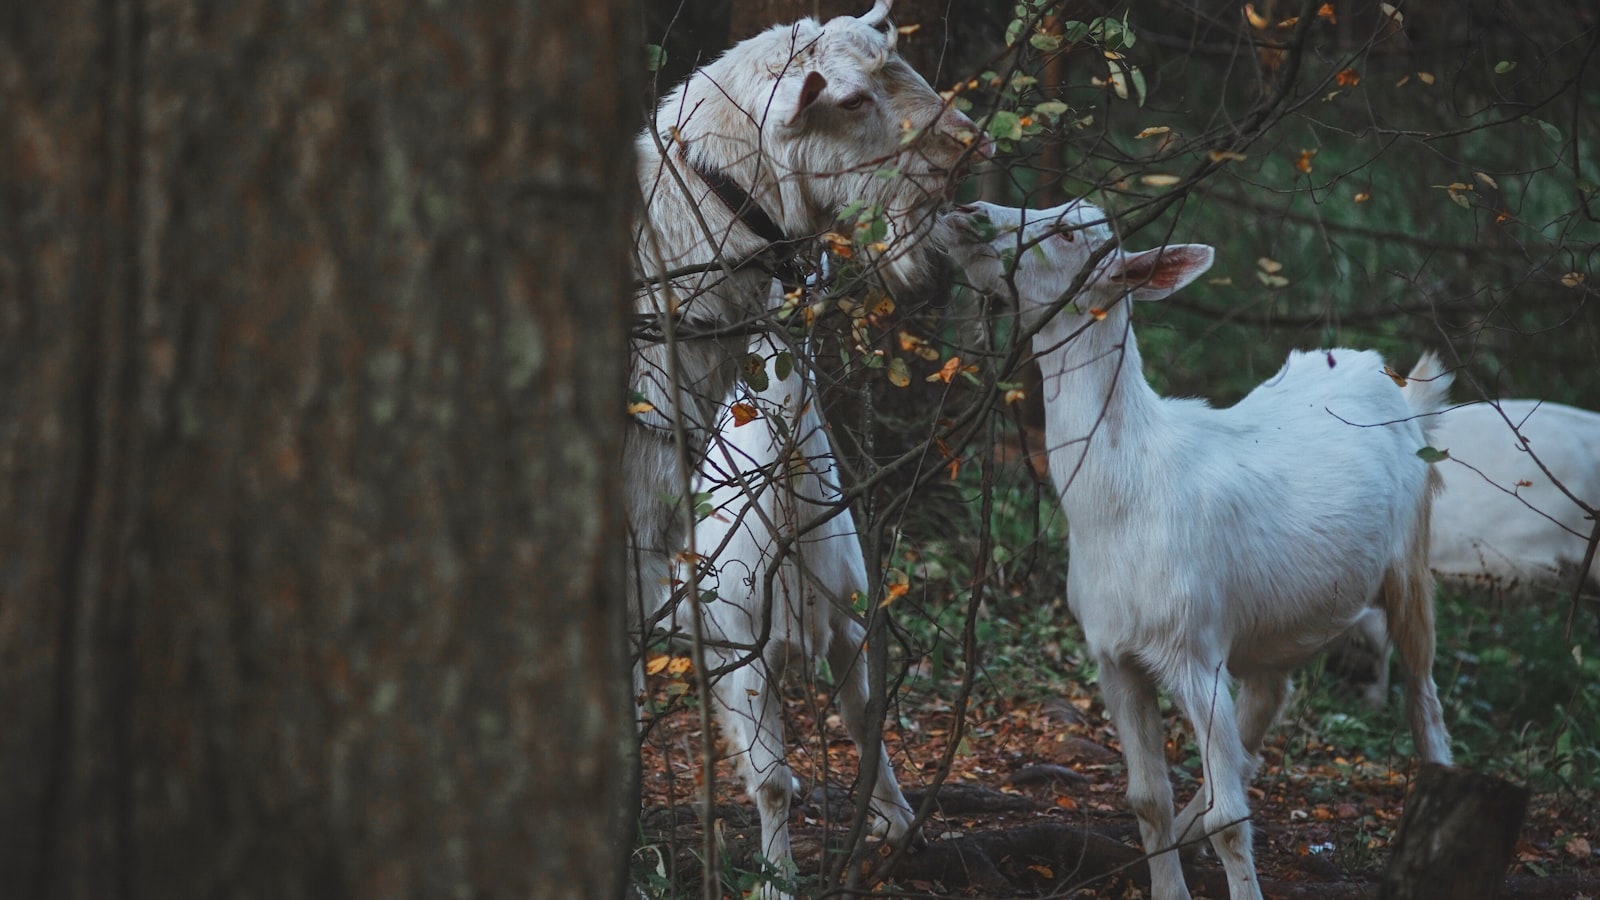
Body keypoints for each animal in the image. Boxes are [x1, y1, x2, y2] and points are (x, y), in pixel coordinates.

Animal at [672, 329, 915, 877]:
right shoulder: (755, 646)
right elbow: (773, 782)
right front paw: (777, 875)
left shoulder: (847, 627)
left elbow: (864, 722)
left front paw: (897, 821)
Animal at [940, 201, 1459, 896]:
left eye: (1070, 231)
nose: (967, 212)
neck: (1120, 506)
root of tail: (1406, 390)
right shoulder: (1113, 652)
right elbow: (1146, 797)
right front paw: (1167, 881)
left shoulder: (1195, 646)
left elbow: (1230, 821)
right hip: (1270, 618)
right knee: (1268, 703)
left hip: (1411, 559)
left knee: (1423, 698)